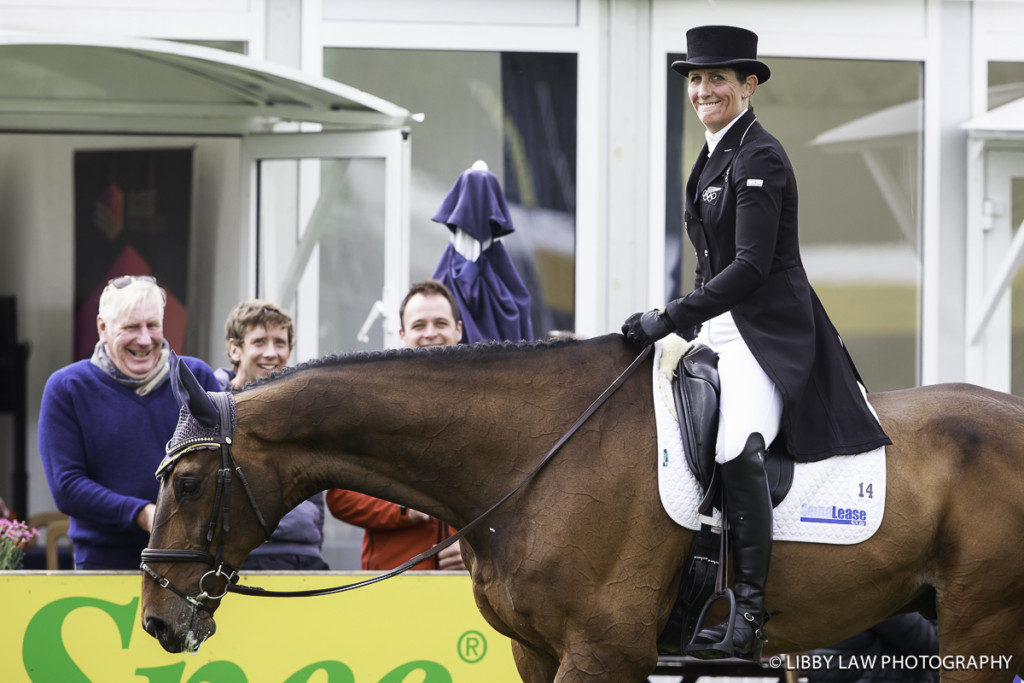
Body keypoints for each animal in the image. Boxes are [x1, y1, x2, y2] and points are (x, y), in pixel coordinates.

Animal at [142, 335, 1024, 683]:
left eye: (186, 485)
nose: (156, 619)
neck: (532, 455)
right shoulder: (536, 651)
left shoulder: (604, 654)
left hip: (979, 627)